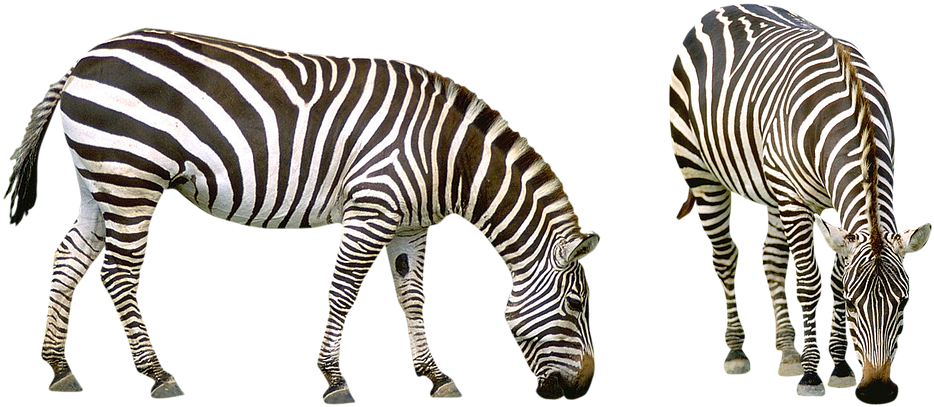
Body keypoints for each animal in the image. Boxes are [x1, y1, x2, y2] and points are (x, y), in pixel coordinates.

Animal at [5, 29, 600, 403]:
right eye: (576, 306)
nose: (583, 389)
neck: (445, 154)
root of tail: (83, 60)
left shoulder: (410, 227)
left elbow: (411, 300)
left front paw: (435, 377)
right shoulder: (372, 207)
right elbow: (345, 292)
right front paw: (334, 379)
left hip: (98, 180)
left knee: (69, 257)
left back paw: (59, 368)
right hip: (132, 175)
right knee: (119, 273)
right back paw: (157, 375)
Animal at [668, 4, 930, 404]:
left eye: (903, 303)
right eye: (853, 305)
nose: (877, 391)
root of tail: (722, 9)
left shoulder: (833, 209)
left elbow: (833, 280)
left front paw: (839, 367)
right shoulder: (794, 199)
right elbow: (810, 283)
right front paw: (811, 376)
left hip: (774, 190)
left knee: (772, 262)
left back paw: (789, 353)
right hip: (703, 174)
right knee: (726, 258)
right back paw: (737, 352)